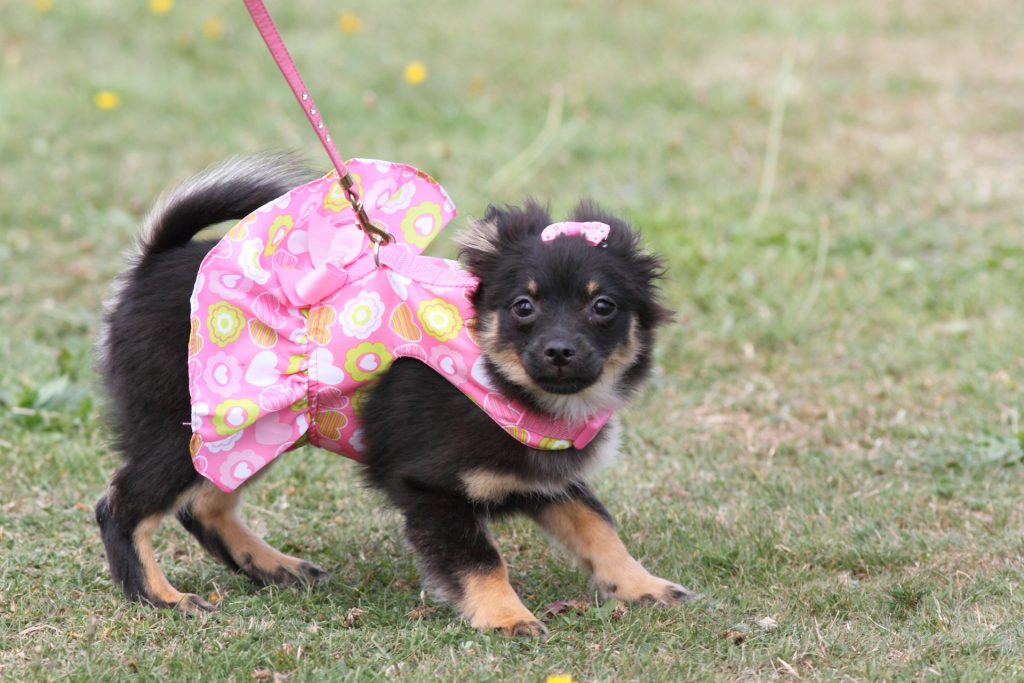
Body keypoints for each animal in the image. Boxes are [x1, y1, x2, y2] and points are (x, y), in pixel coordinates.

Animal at [96, 156, 696, 634]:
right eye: (524, 307)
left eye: (603, 307)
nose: (560, 350)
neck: (499, 381)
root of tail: (153, 262)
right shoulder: (430, 487)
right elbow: (483, 559)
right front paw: (506, 616)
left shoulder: (545, 478)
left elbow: (598, 528)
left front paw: (642, 585)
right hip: (187, 429)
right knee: (121, 507)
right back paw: (162, 597)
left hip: (253, 433)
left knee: (203, 505)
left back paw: (273, 566)